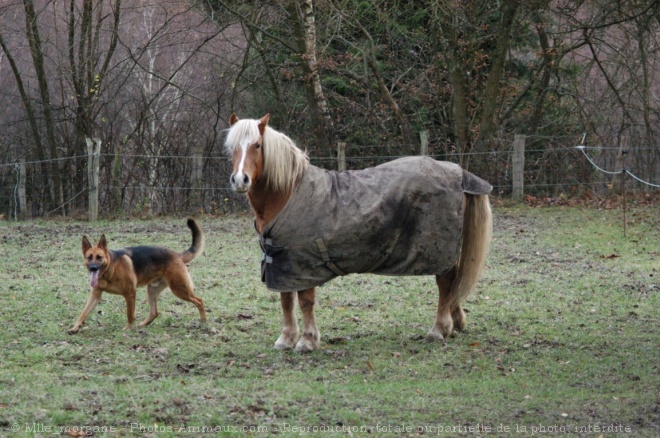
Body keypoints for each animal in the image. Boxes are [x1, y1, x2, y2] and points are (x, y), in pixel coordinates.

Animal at [67, 217, 206, 334]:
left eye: (99, 257)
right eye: (89, 257)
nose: (93, 268)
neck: (110, 269)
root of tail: (177, 255)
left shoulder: (130, 294)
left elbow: (130, 314)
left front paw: (128, 328)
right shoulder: (95, 295)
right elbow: (83, 313)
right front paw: (75, 327)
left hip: (179, 289)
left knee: (199, 300)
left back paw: (204, 321)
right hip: (152, 291)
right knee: (154, 313)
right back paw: (142, 325)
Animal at [226, 113, 490, 352]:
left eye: (257, 145)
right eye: (231, 148)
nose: (240, 180)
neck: (288, 192)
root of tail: (457, 171)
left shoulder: (303, 264)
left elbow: (305, 302)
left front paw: (307, 341)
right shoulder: (282, 263)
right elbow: (285, 300)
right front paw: (286, 338)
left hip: (438, 250)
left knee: (445, 283)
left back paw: (438, 330)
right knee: (453, 281)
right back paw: (455, 323)